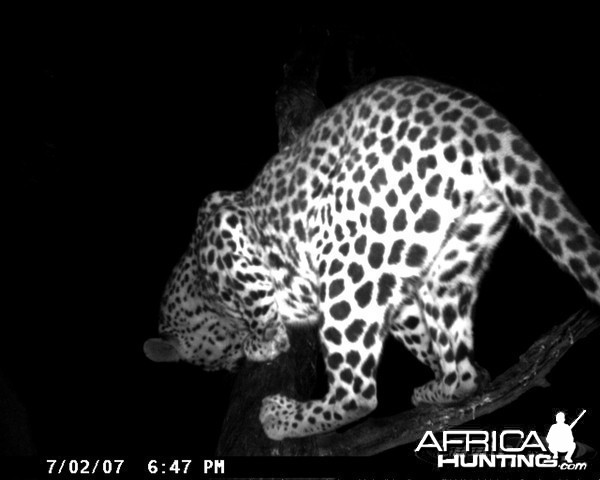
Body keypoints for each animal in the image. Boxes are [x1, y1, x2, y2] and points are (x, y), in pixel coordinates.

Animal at [144, 77, 600, 440]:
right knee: (465, 374)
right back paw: (440, 389)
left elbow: (259, 305)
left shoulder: (225, 226)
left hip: (346, 256)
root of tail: (476, 116)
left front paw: (262, 342)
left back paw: (281, 417)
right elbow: (417, 333)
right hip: (447, 261)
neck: (199, 289)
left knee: (357, 395)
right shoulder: (396, 289)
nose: (227, 366)